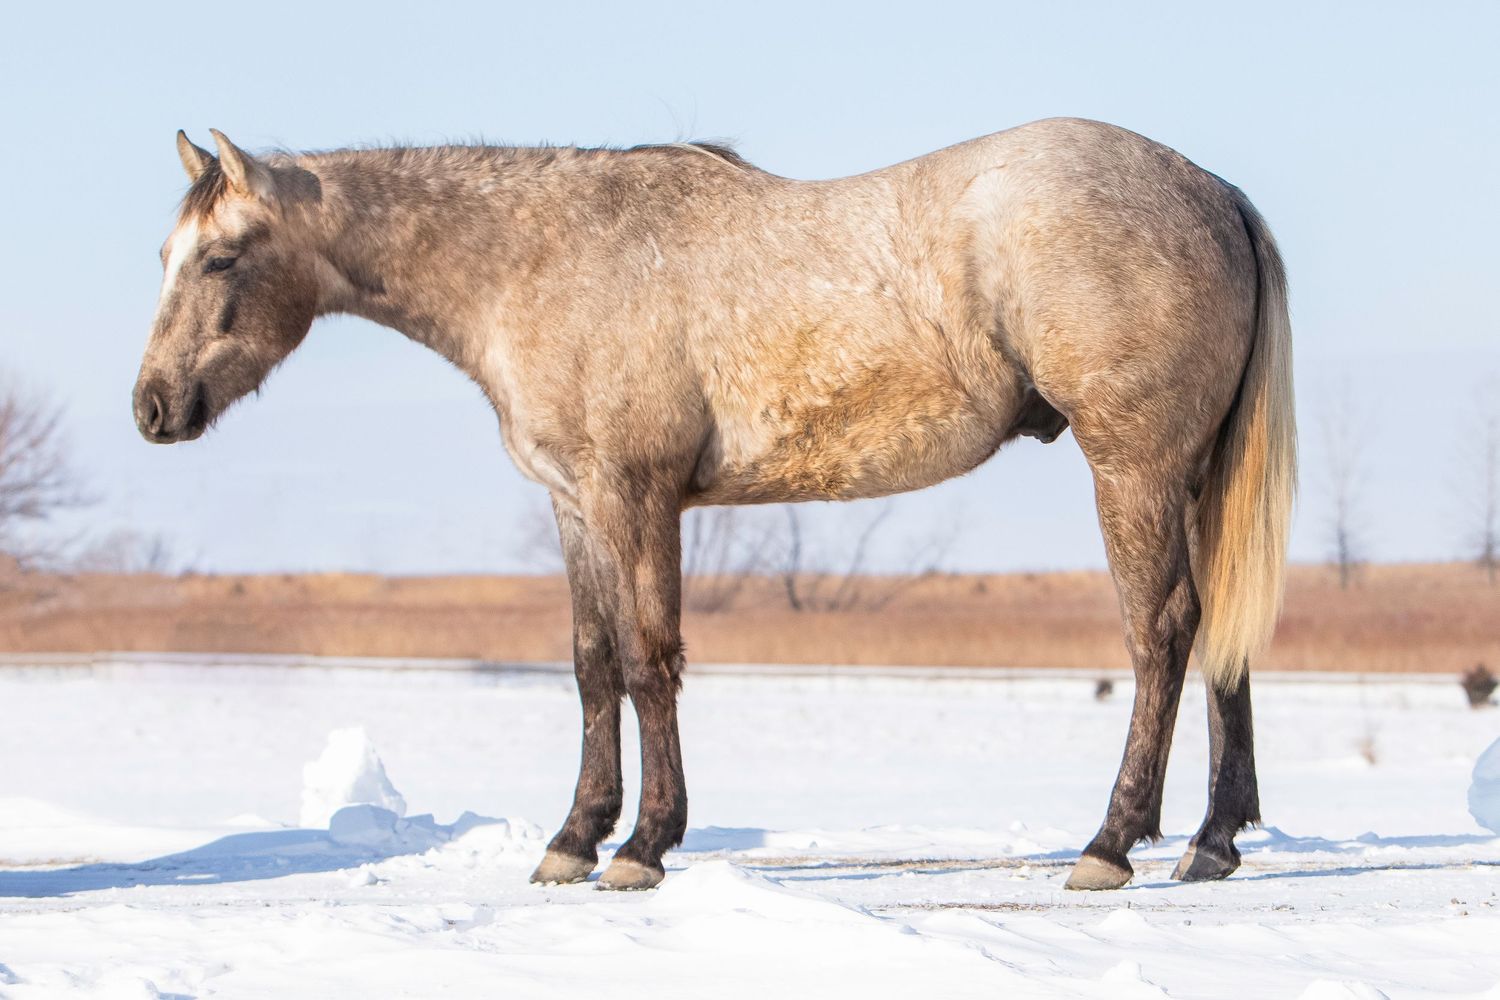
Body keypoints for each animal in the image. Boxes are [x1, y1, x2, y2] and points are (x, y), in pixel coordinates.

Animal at [134, 119, 1295, 891]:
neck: (538, 258)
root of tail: (1209, 186)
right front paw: (574, 837)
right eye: (164, 257)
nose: (152, 407)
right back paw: (1212, 843)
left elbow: (650, 662)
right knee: (1223, 636)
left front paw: (644, 845)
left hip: (1132, 468)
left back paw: (1112, 843)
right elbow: (592, 666)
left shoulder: (635, 496)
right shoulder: (576, 505)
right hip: (1191, 477)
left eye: (222, 258)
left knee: (1163, 632)